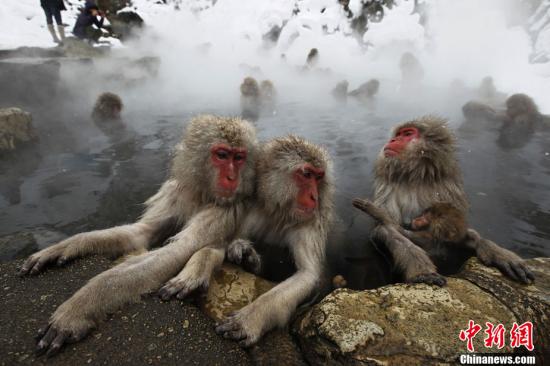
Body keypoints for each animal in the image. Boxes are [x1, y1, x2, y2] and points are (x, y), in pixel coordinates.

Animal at [21, 116, 260, 356]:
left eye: (239, 157)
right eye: (222, 155)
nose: (231, 177)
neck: (203, 194)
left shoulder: (226, 208)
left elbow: (180, 248)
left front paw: (78, 309)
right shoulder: (176, 194)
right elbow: (142, 233)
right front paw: (65, 246)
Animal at [354, 117, 536, 286]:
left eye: (407, 134)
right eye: (398, 134)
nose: (392, 140)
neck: (416, 176)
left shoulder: (447, 188)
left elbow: (457, 231)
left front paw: (497, 252)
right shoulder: (388, 187)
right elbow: (385, 229)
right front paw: (422, 271)